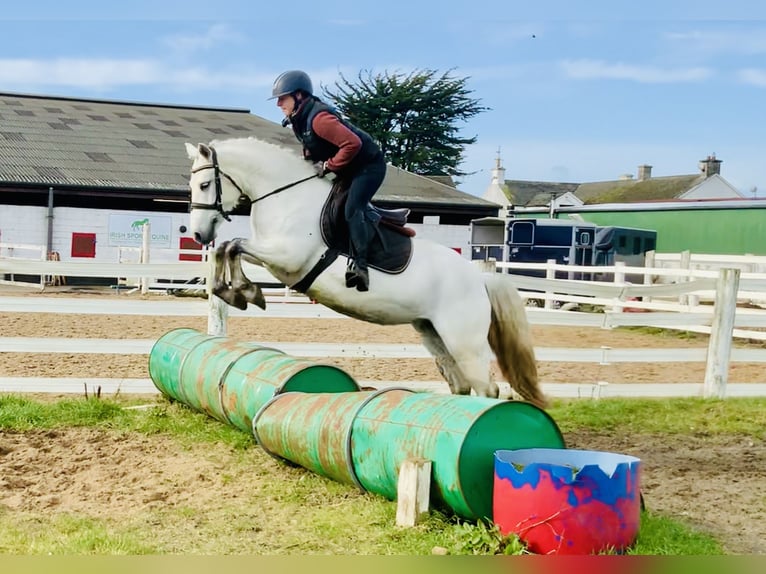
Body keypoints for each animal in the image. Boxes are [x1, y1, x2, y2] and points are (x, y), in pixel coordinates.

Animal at [184, 138, 544, 410]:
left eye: (204, 184)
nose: (199, 234)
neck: (286, 195)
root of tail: (479, 279)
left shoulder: (288, 258)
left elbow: (233, 245)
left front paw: (242, 291)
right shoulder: (272, 258)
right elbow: (227, 247)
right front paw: (234, 291)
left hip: (464, 341)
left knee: (486, 389)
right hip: (433, 334)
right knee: (461, 385)